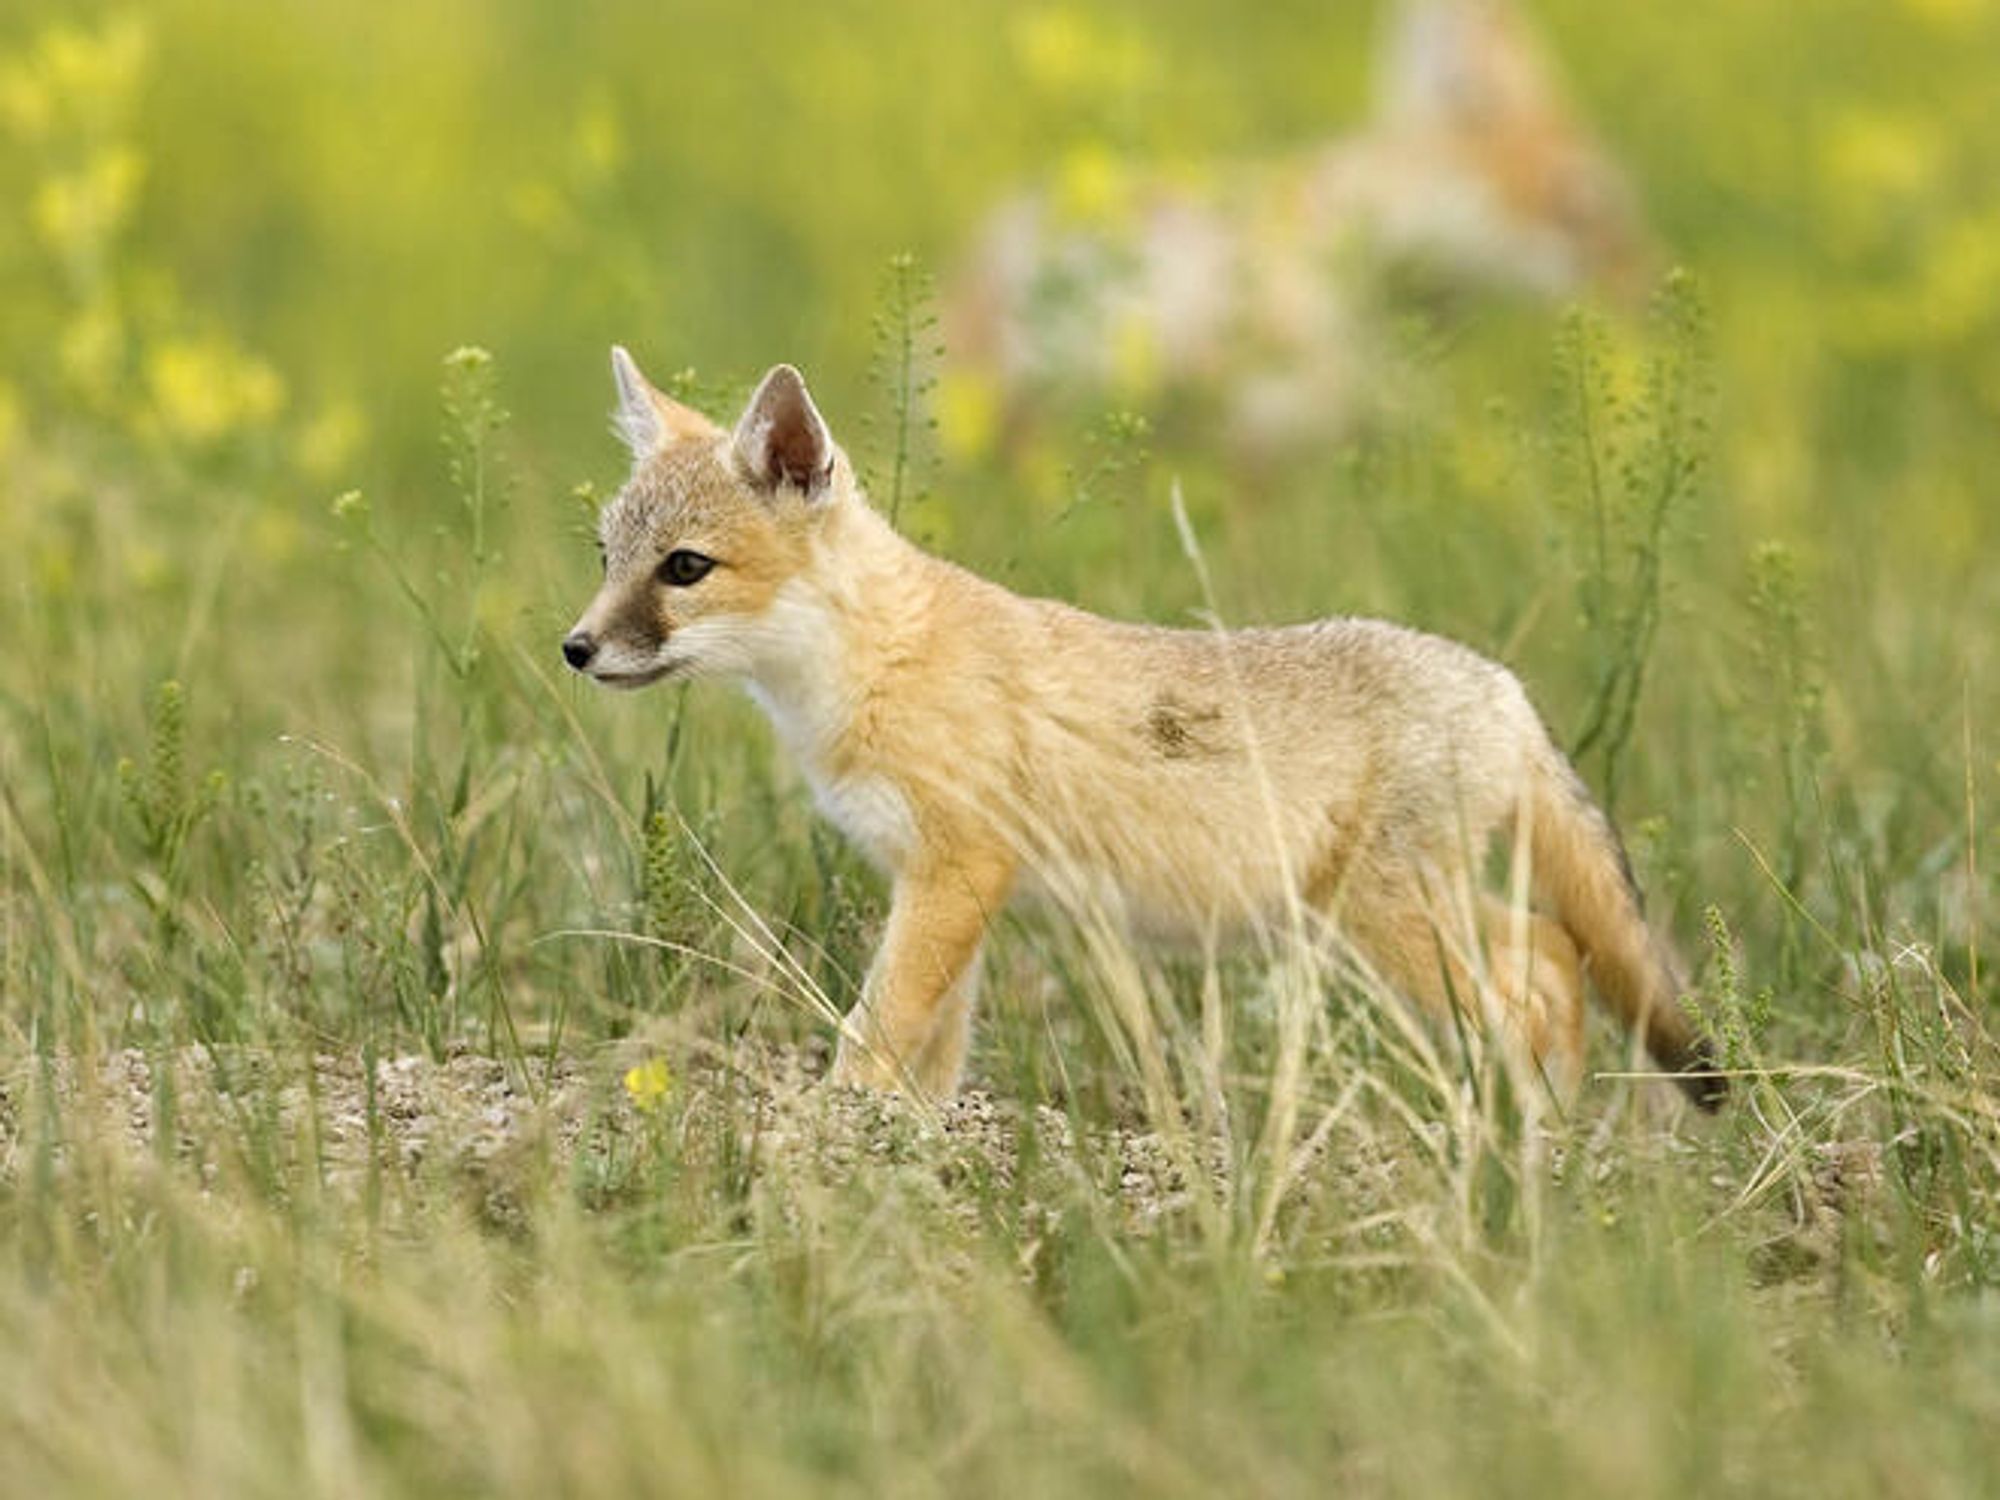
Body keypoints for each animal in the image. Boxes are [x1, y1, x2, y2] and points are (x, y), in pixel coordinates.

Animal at [564, 350, 1720, 1104]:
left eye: (684, 569)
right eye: (607, 556)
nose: (574, 648)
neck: (879, 661)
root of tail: (1499, 685)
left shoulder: (956, 873)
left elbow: (875, 1026)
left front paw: (835, 1132)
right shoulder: (939, 886)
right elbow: (932, 1049)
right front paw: (910, 1143)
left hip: (1390, 923)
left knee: (1540, 976)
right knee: (1558, 958)